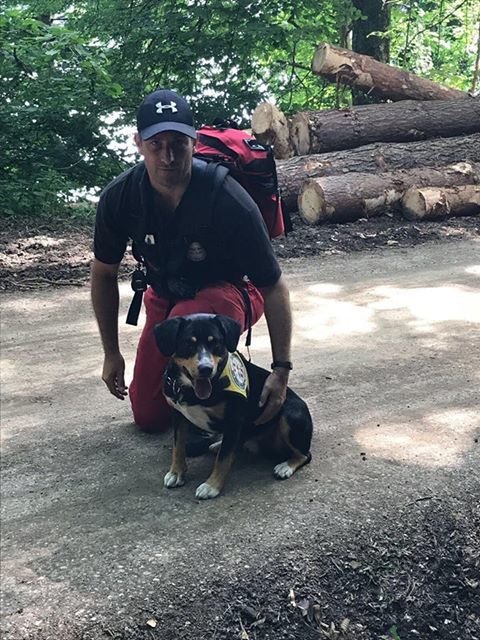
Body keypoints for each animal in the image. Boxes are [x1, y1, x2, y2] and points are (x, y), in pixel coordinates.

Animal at [152, 314, 314, 500]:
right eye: (188, 343)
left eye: (216, 343)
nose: (206, 369)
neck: (191, 390)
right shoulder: (178, 415)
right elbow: (178, 446)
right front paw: (176, 473)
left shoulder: (234, 419)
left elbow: (223, 459)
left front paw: (211, 486)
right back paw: (219, 445)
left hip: (291, 415)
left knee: (305, 455)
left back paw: (285, 466)